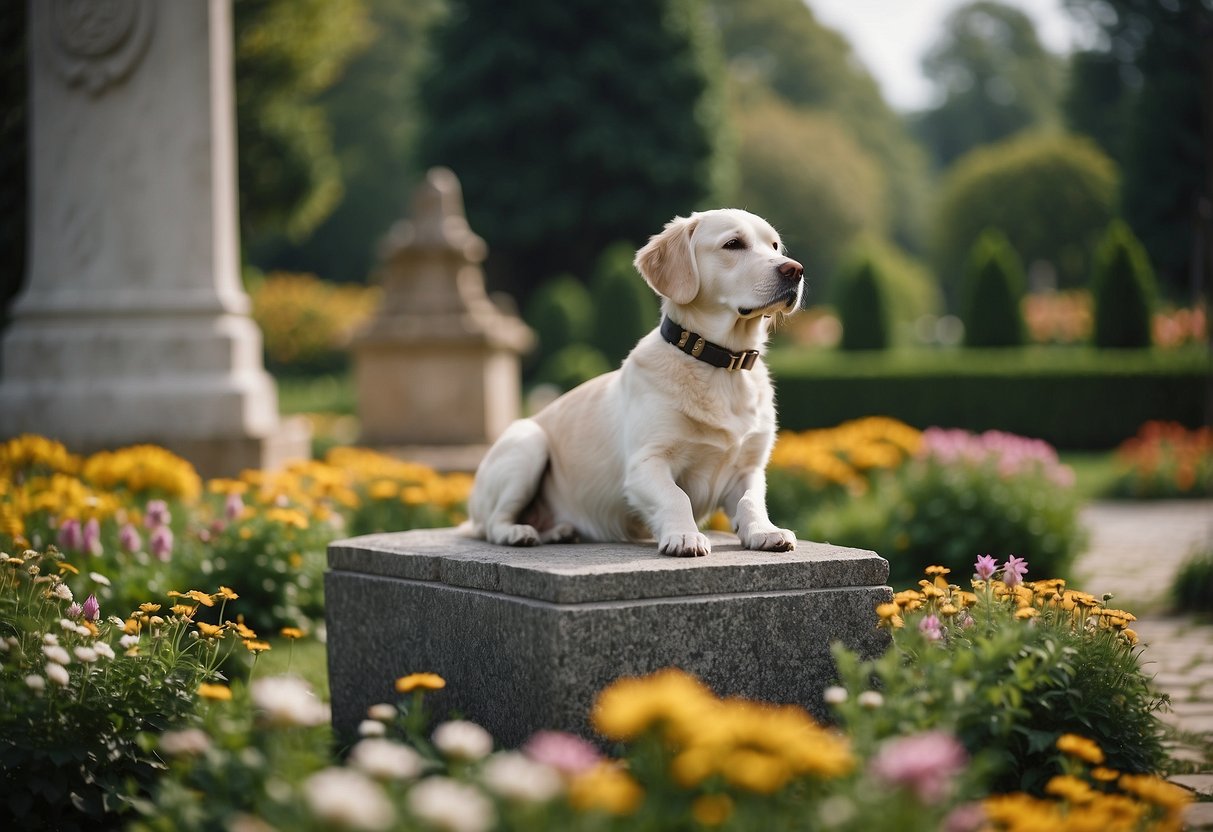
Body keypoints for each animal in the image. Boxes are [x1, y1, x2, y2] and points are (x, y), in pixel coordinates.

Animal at [463, 208, 805, 560]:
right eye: (733, 244)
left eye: (774, 246)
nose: (795, 271)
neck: (722, 366)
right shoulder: (646, 462)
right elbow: (676, 496)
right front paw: (684, 536)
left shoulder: (749, 466)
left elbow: (751, 501)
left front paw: (764, 532)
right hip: (527, 443)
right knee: (492, 523)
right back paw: (518, 532)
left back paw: (559, 530)